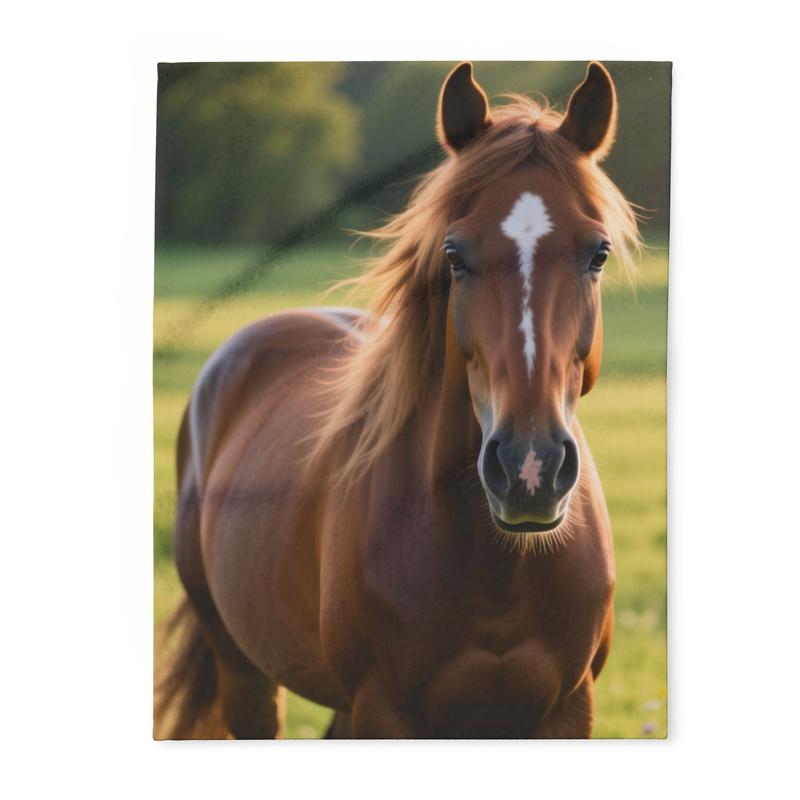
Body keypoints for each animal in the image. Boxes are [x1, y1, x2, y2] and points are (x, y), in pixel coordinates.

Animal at [155, 61, 640, 739]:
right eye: (454, 254)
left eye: (597, 253)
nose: (530, 468)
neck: (498, 573)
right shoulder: (385, 711)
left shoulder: (567, 711)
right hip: (244, 672)